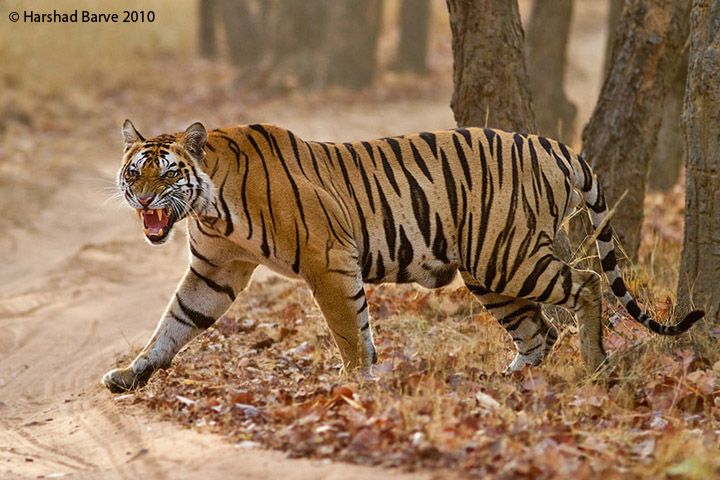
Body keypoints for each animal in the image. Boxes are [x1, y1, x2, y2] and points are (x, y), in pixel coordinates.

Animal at [101, 120, 703, 393]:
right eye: (135, 171)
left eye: (167, 173)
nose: (144, 199)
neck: (209, 206)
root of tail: (548, 142)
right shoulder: (214, 272)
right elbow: (174, 323)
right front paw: (133, 373)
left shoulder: (328, 261)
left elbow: (349, 329)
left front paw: (356, 384)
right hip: (488, 270)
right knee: (538, 330)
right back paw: (506, 382)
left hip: (506, 257)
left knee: (586, 283)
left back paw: (595, 365)